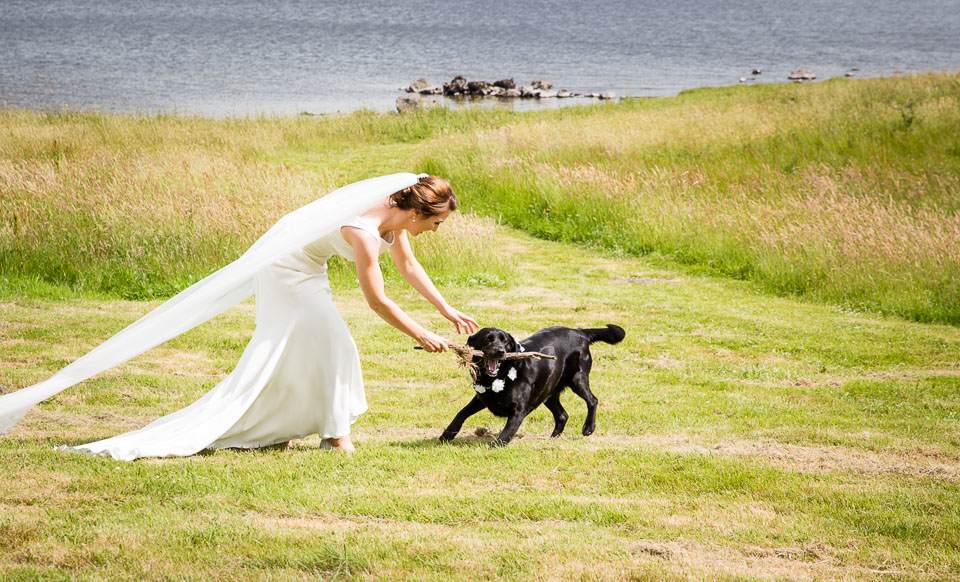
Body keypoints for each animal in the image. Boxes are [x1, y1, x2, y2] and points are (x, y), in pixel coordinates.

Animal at [440, 324, 628, 448]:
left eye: (505, 342)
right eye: (487, 340)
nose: (501, 352)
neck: (500, 376)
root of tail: (579, 331)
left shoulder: (518, 411)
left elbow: (506, 433)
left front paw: (495, 446)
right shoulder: (482, 397)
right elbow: (461, 413)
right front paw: (447, 434)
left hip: (577, 379)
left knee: (592, 400)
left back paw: (588, 427)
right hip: (548, 393)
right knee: (563, 415)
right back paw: (553, 438)